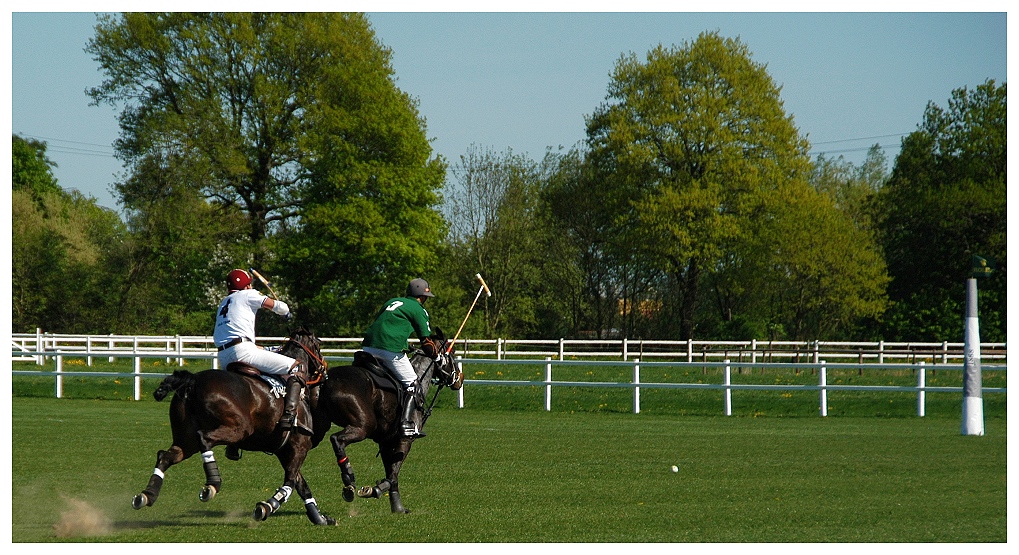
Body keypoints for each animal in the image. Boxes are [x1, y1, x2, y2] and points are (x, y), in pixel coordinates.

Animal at [129, 325, 336, 525]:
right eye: (318, 344)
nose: (325, 370)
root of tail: (192, 380)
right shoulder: (299, 446)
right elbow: (291, 482)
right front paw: (268, 506)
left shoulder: (284, 450)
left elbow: (302, 485)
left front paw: (319, 518)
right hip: (238, 429)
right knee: (204, 438)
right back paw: (212, 484)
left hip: (186, 439)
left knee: (165, 456)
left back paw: (147, 495)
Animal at [311, 325, 464, 513]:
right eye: (452, 352)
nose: (459, 379)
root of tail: (325, 381)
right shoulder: (404, 440)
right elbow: (392, 475)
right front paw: (375, 489)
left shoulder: (386, 442)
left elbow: (391, 474)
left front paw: (397, 507)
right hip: (363, 425)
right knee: (336, 439)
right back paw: (348, 479)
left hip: (316, 430)